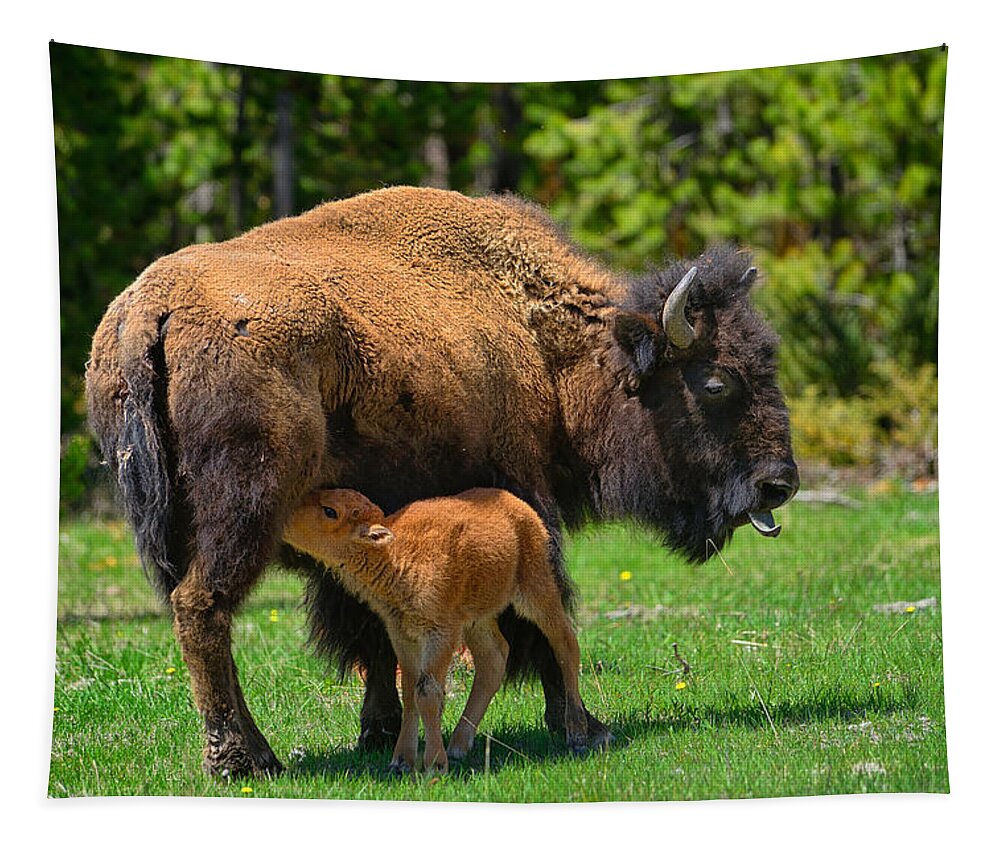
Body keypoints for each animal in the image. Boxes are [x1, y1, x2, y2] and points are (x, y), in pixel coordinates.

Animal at [282, 486, 592, 772]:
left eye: (330, 511)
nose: (284, 520)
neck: (393, 552)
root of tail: (520, 506)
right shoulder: (402, 635)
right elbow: (410, 692)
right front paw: (401, 762)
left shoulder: (440, 633)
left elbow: (428, 693)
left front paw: (434, 764)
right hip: (477, 619)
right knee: (493, 659)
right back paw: (458, 745)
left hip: (536, 590)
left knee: (565, 643)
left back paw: (577, 733)